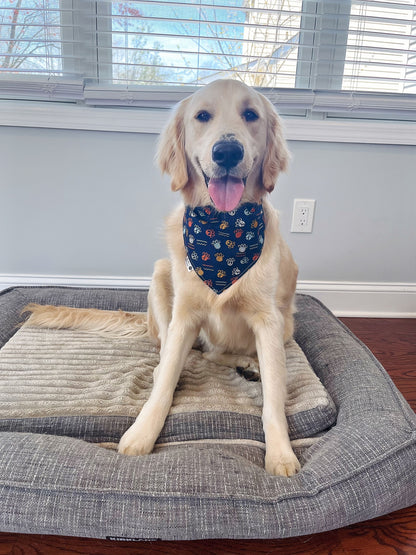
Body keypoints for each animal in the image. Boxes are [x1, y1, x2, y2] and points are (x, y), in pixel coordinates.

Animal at [26, 78, 300, 478]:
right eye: (202, 116)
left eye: (251, 115)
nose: (227, 151)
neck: (223, 232)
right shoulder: (184, 315)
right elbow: (167, 376)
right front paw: (142, 432)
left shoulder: (268, 321)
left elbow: (275, 398)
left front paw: (280, 453)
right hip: (160, 277)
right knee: (178, 357)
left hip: (286, 326)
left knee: (217, 354)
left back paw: (249, 364)